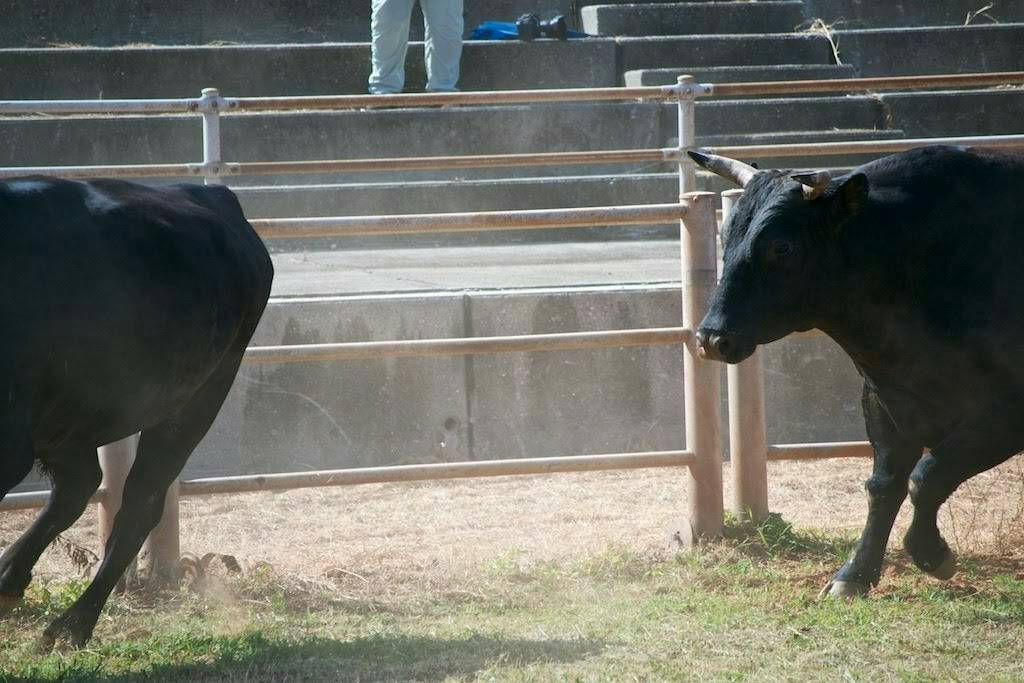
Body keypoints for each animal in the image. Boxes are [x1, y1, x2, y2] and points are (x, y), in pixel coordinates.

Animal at [0, 176, 274, 647]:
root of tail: (211, 194)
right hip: (71, 419)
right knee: (77, 488)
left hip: (197, 401)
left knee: (139, 503)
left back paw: (71, 625)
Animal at [688, 145, 1024, 598]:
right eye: (728, 237)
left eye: (781, 247)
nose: (711, 338)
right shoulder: (886, 402)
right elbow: (884, 486)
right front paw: (854, 574)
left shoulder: (1005, 414)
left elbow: (926, 476)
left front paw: (931, 552)